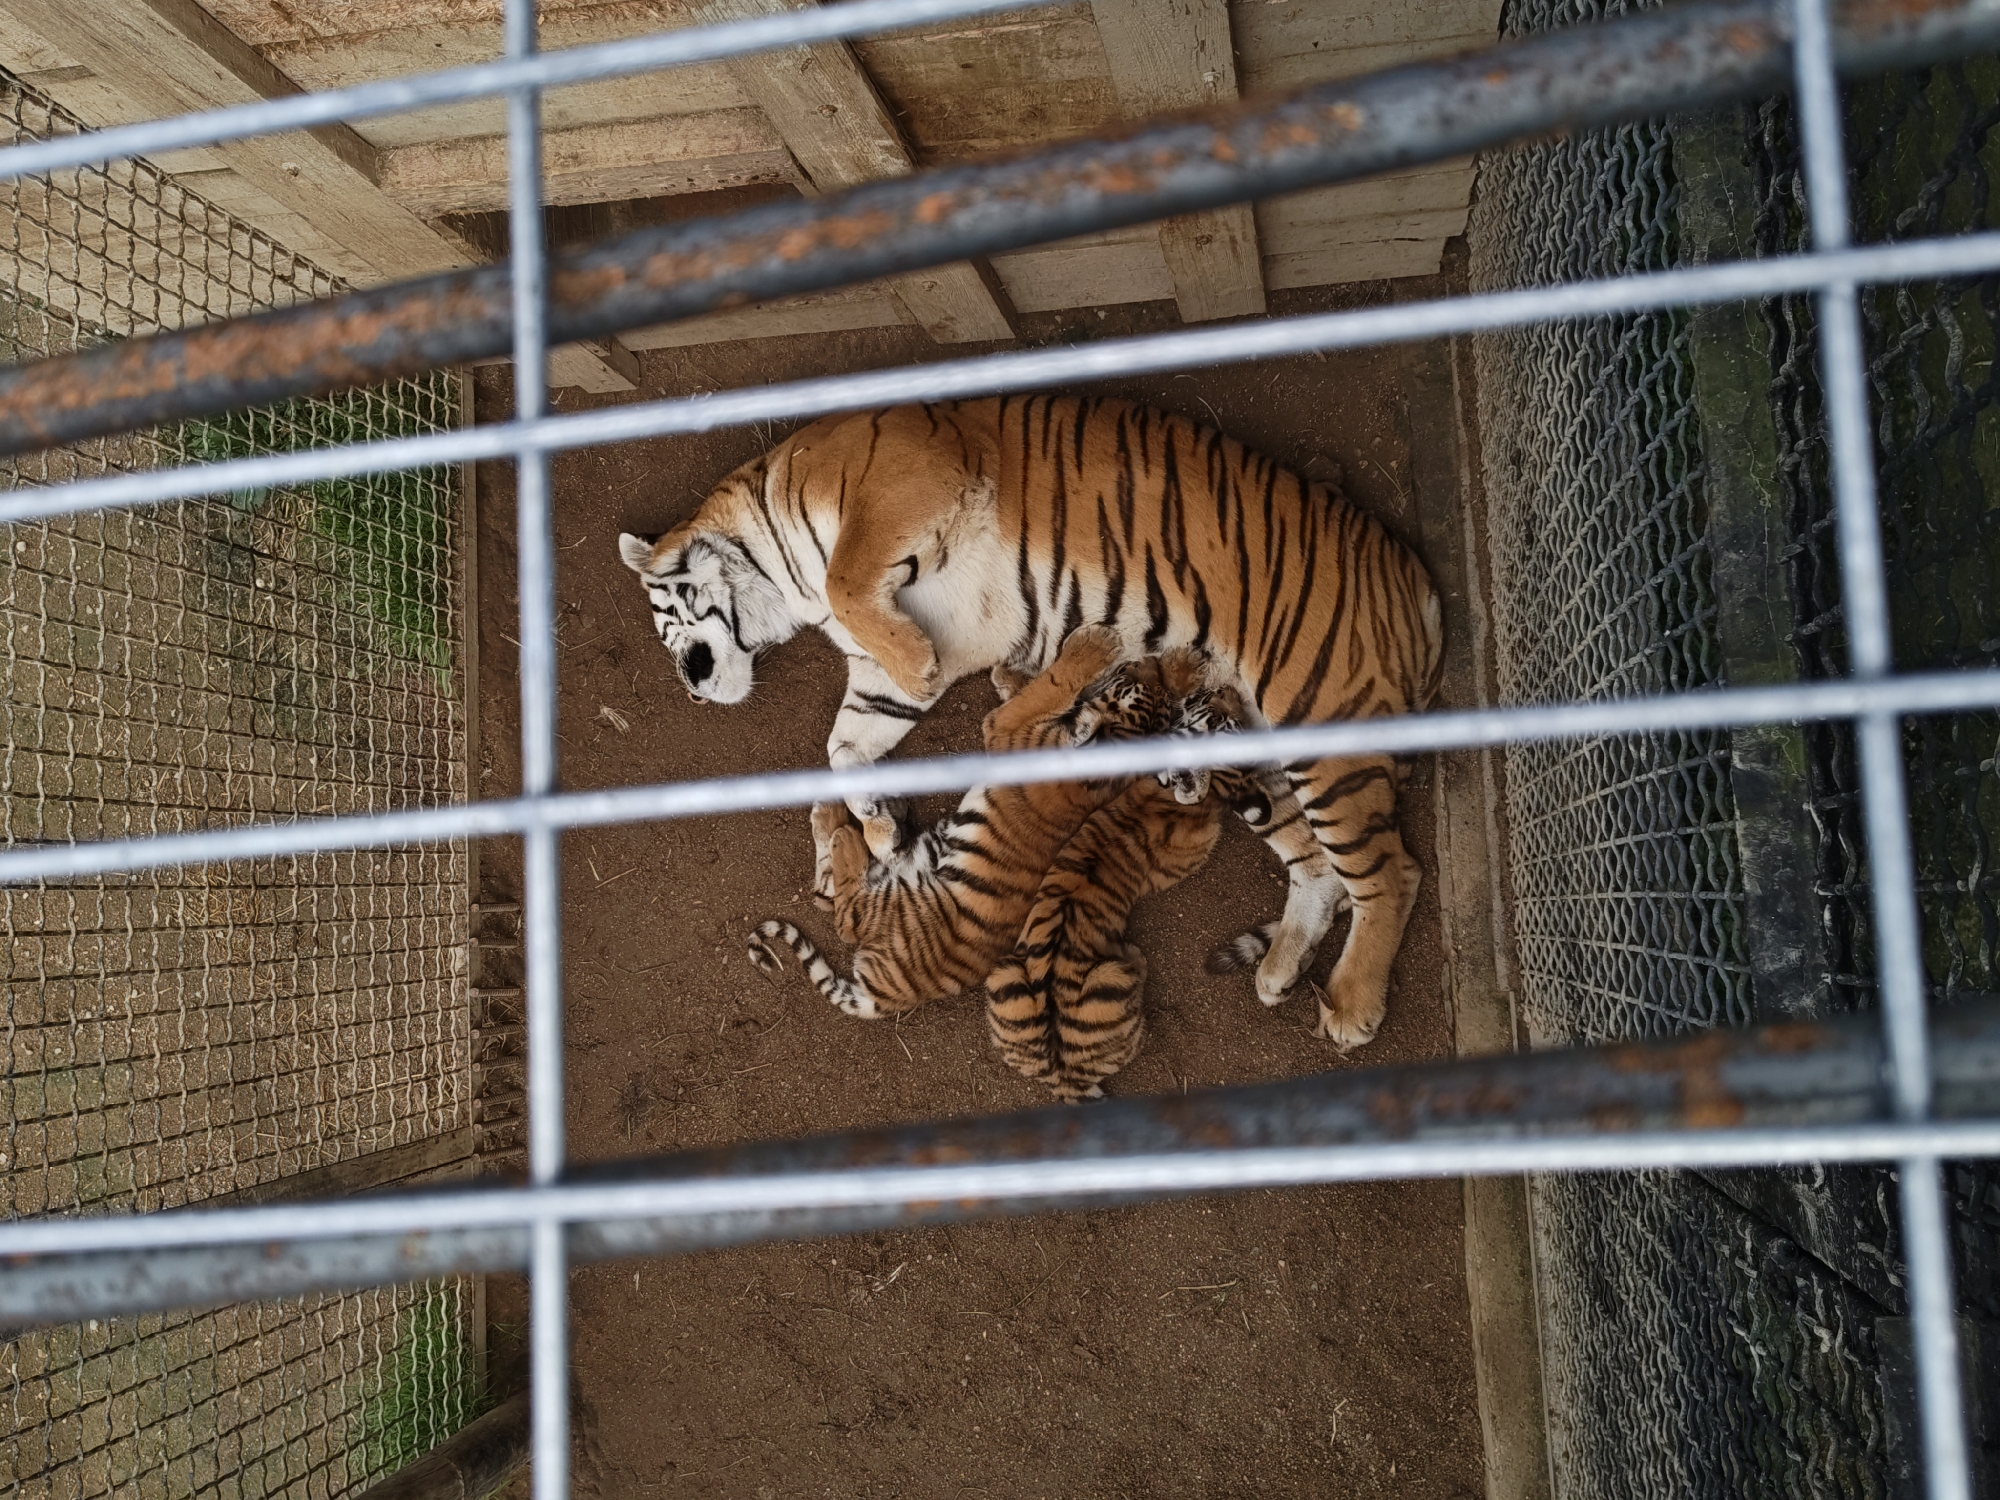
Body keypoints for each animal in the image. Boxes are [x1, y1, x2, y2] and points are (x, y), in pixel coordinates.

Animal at [746, 625, 1170, 1019]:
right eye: (1135, 674)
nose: (1149, 663)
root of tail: (886, 998)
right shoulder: (1019, 725)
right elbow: (1038, 693)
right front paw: (1008, 674)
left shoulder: (1008, 727)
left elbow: (1050, 687)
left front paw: (1095, 644)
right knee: (829, 890)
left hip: (903, 899)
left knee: (844, 913)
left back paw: (843, 830)